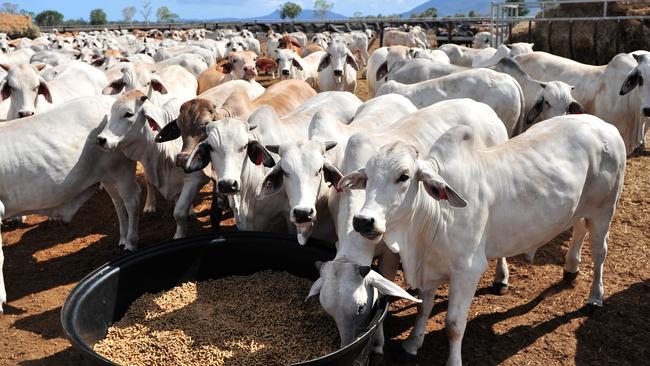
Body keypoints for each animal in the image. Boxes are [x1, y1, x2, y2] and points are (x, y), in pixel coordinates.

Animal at [0, 96, 142, 314]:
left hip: (122, 170)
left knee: (132, 201)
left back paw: (131, 242)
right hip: (108, 176)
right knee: (119, 204)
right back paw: (123, 239)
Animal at [342, 113, 624, 364]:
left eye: (404, 176)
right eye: (367, 177)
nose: (363, 220)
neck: (432, 217)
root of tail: (603, 124)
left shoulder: (468, 271)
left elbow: (454, 325)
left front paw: (453, 361)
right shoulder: (431, 266)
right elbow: (424, 307)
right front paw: (412, 345)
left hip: (605, 209)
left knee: (600, 251)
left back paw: (595, 298)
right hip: (581, 208)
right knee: (579, 229)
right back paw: (570, 268)